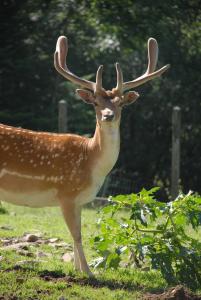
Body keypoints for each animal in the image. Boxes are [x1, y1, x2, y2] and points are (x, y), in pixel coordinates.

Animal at [0, 34, 169, 274]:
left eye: (120, 104)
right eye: (96, 102)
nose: (108, 115)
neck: (91, 163)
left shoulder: (80, 201)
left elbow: (76, 236)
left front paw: (78, 269)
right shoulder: (66, 193)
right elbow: (77, 235)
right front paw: (89, 272)